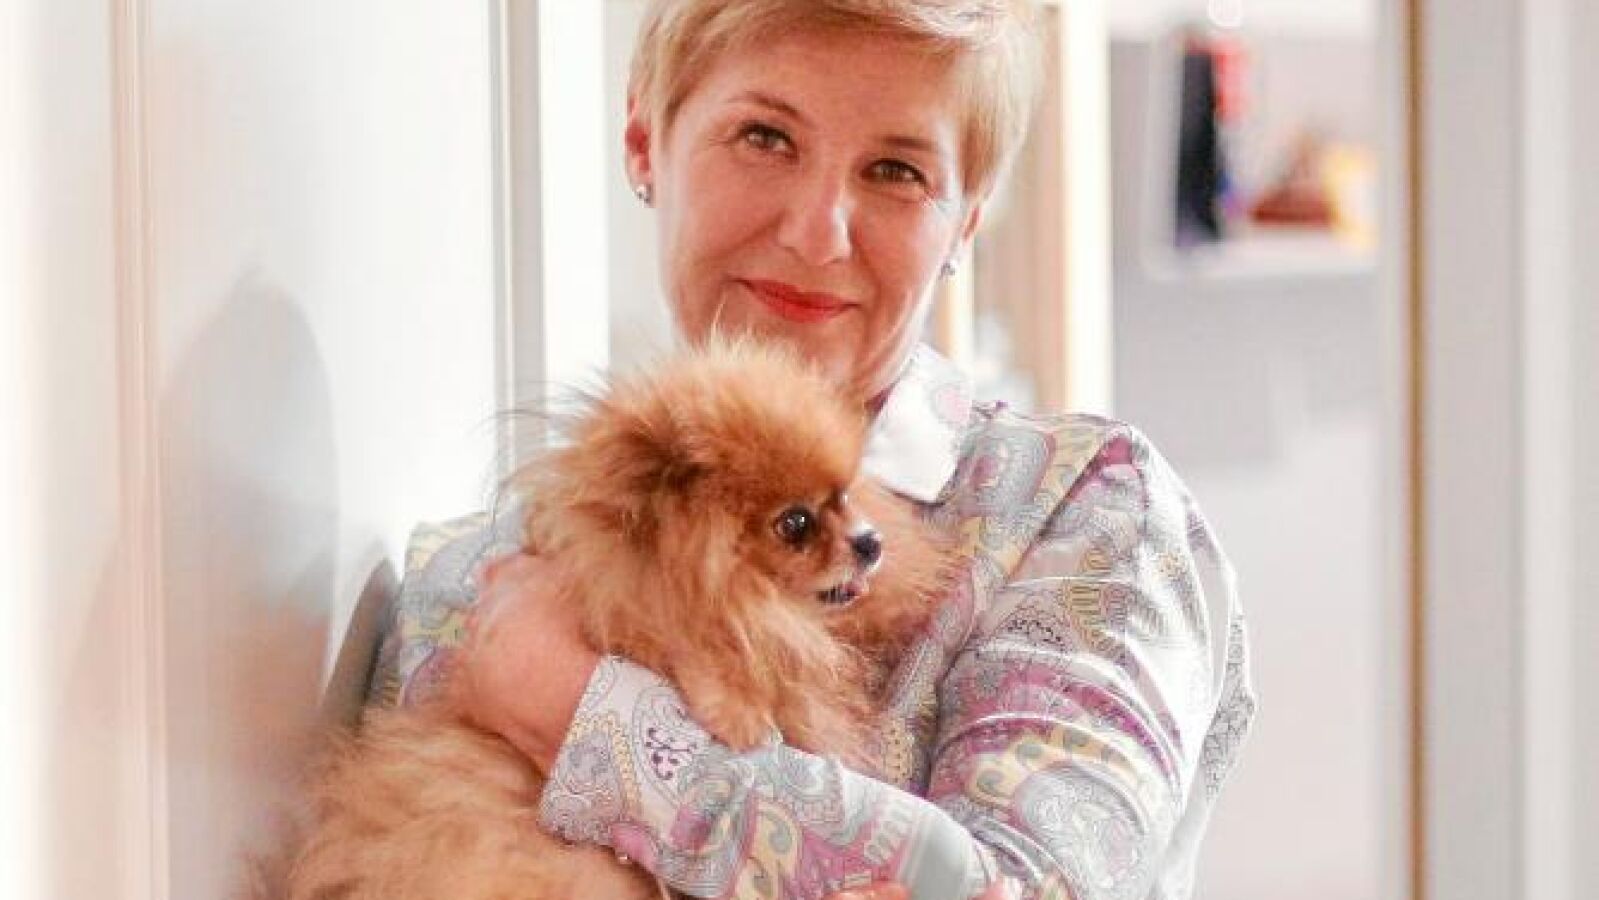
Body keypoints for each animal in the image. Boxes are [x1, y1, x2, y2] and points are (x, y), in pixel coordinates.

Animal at [263, 338, 952, 900]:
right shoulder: (625, 609)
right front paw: (739, 705)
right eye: (797, 523)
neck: (763, 607)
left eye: (847, 495)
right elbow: (688, 642)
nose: (870, 542)